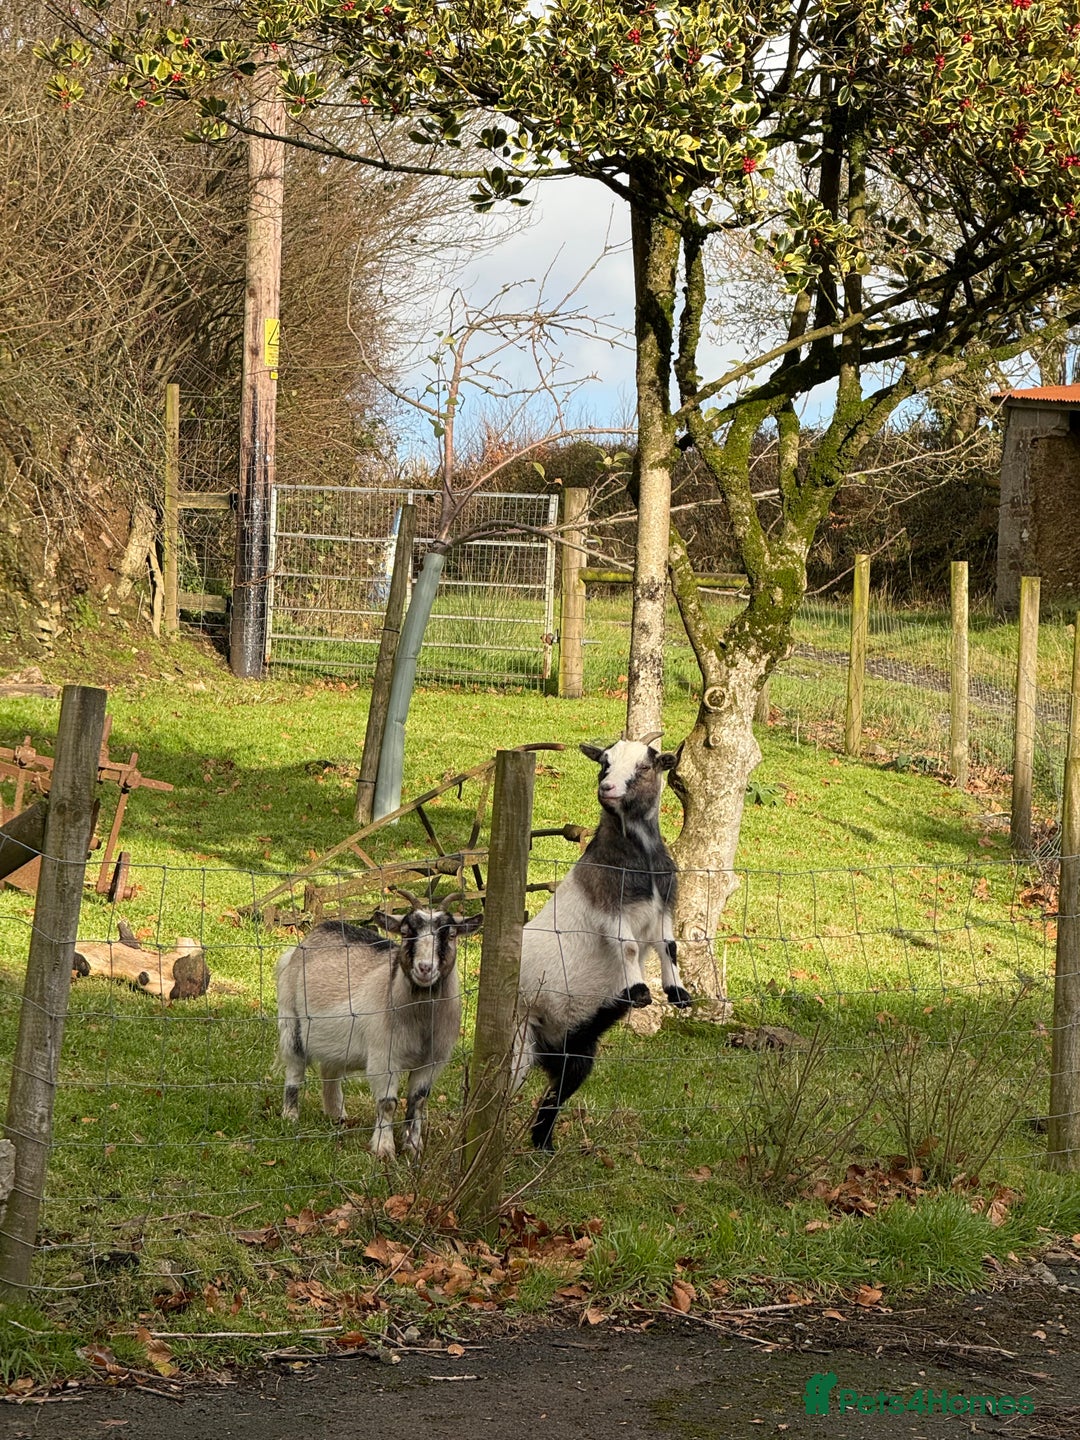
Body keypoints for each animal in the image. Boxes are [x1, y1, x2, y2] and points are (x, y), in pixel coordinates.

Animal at [276, 906, 482, 1158]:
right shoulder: (384, 1056)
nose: (425, 968)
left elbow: (418, 1102)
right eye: (405, 932)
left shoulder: (433, 1060)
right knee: (295, 1067)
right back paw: (290, 1116)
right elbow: (388, 1103)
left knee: (329, 1070)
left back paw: (337, 1115)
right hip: (291, 1019)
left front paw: (414, 1148)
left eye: (451, 935)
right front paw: (384, 1149)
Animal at [513, 735, 691, 1150]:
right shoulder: (608, 904)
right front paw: (639, 991)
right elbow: (627, 946)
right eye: (604, 762)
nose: (607, 789)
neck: (640, 860)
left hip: (575, 1051)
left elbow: (669, 946)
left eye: (646, 766)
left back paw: (543, 1145)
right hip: (519, 1035)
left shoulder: (665, 905)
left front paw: (678, 994)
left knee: (558, 1090)